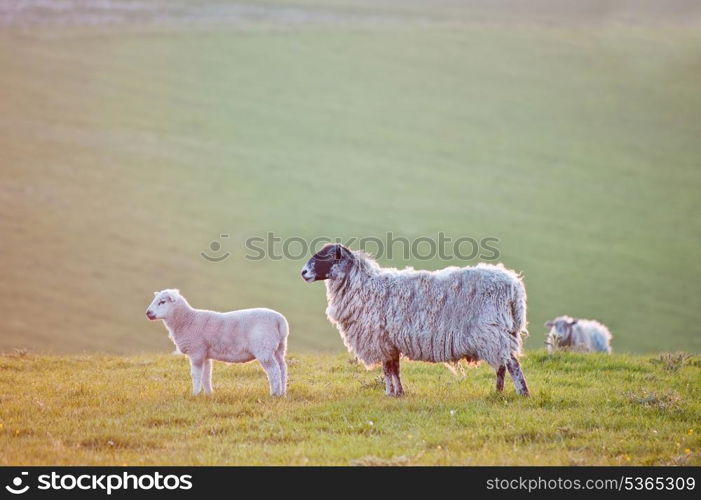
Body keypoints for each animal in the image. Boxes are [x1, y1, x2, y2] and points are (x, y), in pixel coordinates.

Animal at [146, 292, 288, 396]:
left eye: (162, 302)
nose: (148, 313)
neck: (187, 320)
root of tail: (279, 320)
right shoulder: (205, 354)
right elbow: (206, 376)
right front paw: (209, 394)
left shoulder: (196, 351)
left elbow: (196, 375)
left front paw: (195, 394)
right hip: (278, 348)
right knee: (282, 368)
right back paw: (282, 393)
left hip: (264, 347)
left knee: (274, 370)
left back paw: (274, 393)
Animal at [300, 244, 532, 396]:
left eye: (327, 256)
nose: (303, 272)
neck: (363, 286)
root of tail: (514, 286)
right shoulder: (391, 341)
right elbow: (395, 369)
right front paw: (399, 393)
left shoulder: (381, 340)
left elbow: (387, 370)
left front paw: (388, 393)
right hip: (500, 332)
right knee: (503, 364)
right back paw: (498, 392)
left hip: (491, 330)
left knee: (512, 364)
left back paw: (522, 393)